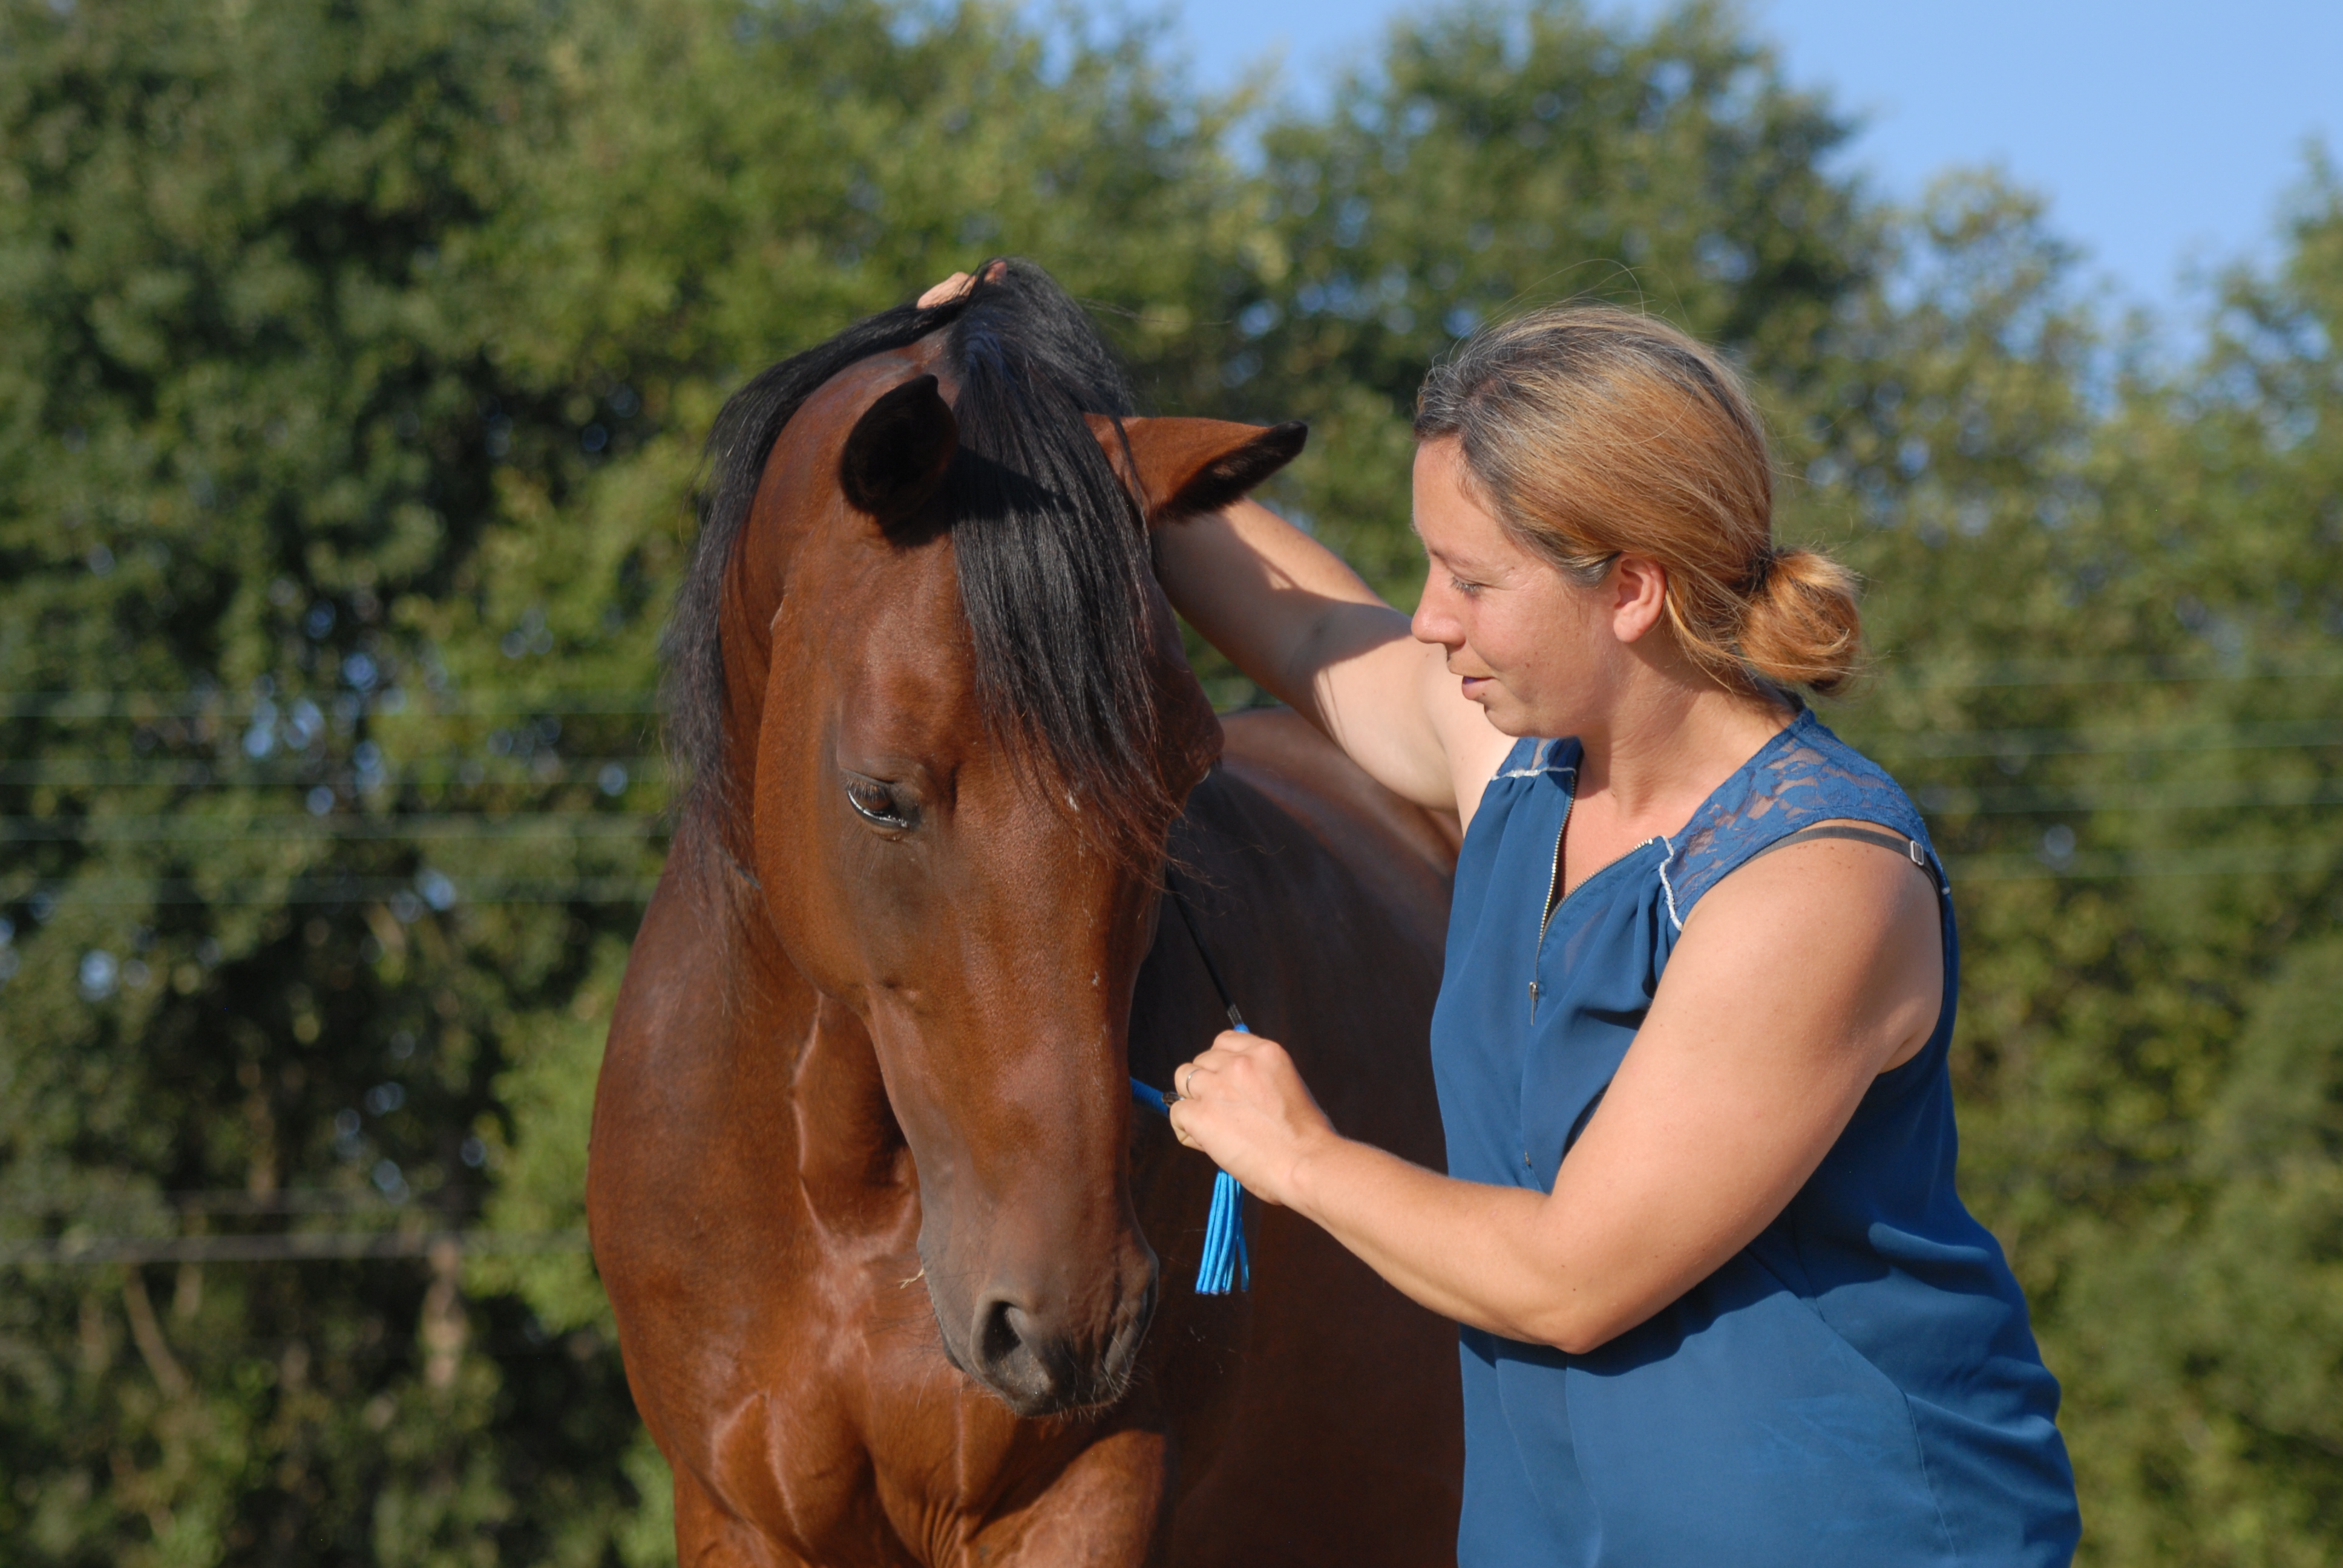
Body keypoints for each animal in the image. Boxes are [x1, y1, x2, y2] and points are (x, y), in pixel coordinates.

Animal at [587, 261, 1462, 1567]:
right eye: (878, 793)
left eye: (1182, 774)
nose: (1073, 1317)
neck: (839, 1209)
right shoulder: (740, 1516)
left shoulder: (1083, 1497)